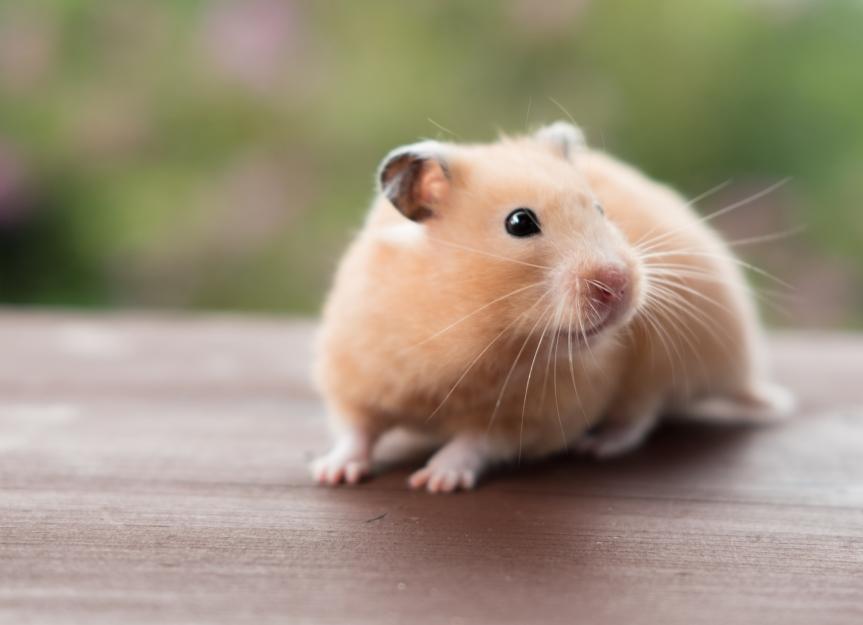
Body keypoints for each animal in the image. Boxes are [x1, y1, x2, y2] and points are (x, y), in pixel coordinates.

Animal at [310, 121, 793, 492]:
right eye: (520, 222)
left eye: (600, 209)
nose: (619, 284)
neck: (471, 328)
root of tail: (741, 373)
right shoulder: (355, 371)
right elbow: (354, 428)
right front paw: (331, 474)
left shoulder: (535, 418)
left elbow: (476, 441)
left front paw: (434, 481)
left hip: (664, 360)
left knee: (642, 414)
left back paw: (596, 446)